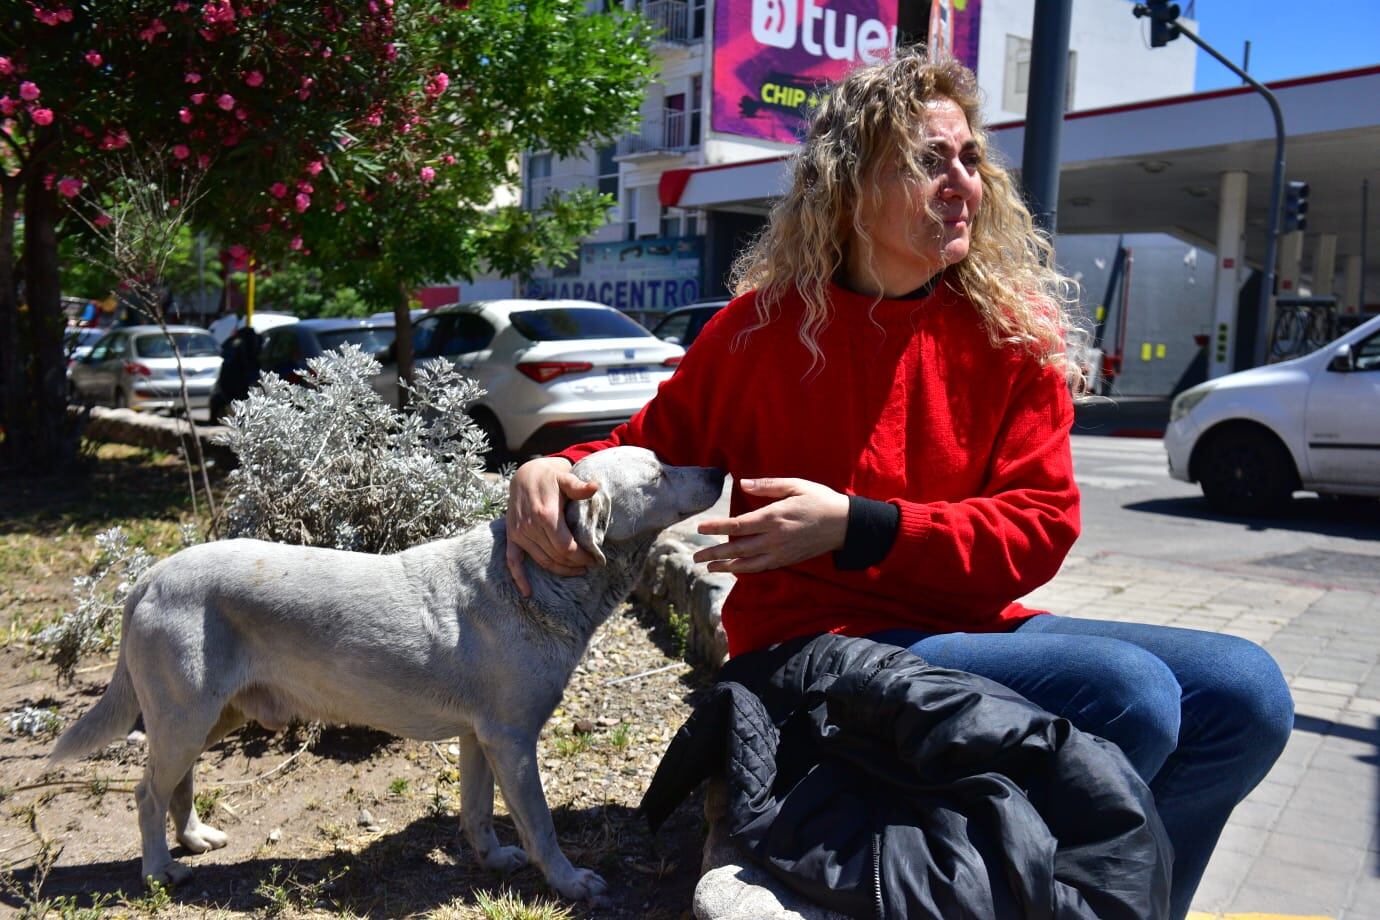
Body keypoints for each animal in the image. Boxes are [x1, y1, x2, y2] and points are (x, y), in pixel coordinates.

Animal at [50, 449, 728, 904]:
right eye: (658, 474)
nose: (720, 471)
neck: (535, 579)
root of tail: (150, 577)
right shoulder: (512, 738)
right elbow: (538, 822)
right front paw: (567, 880)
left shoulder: (480, 739)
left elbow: (478, 810)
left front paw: (492, 859)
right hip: (185, 715)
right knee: (146, 793)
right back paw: (159, 871)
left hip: (211, 716)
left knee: (177, 784)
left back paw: (192, 838)